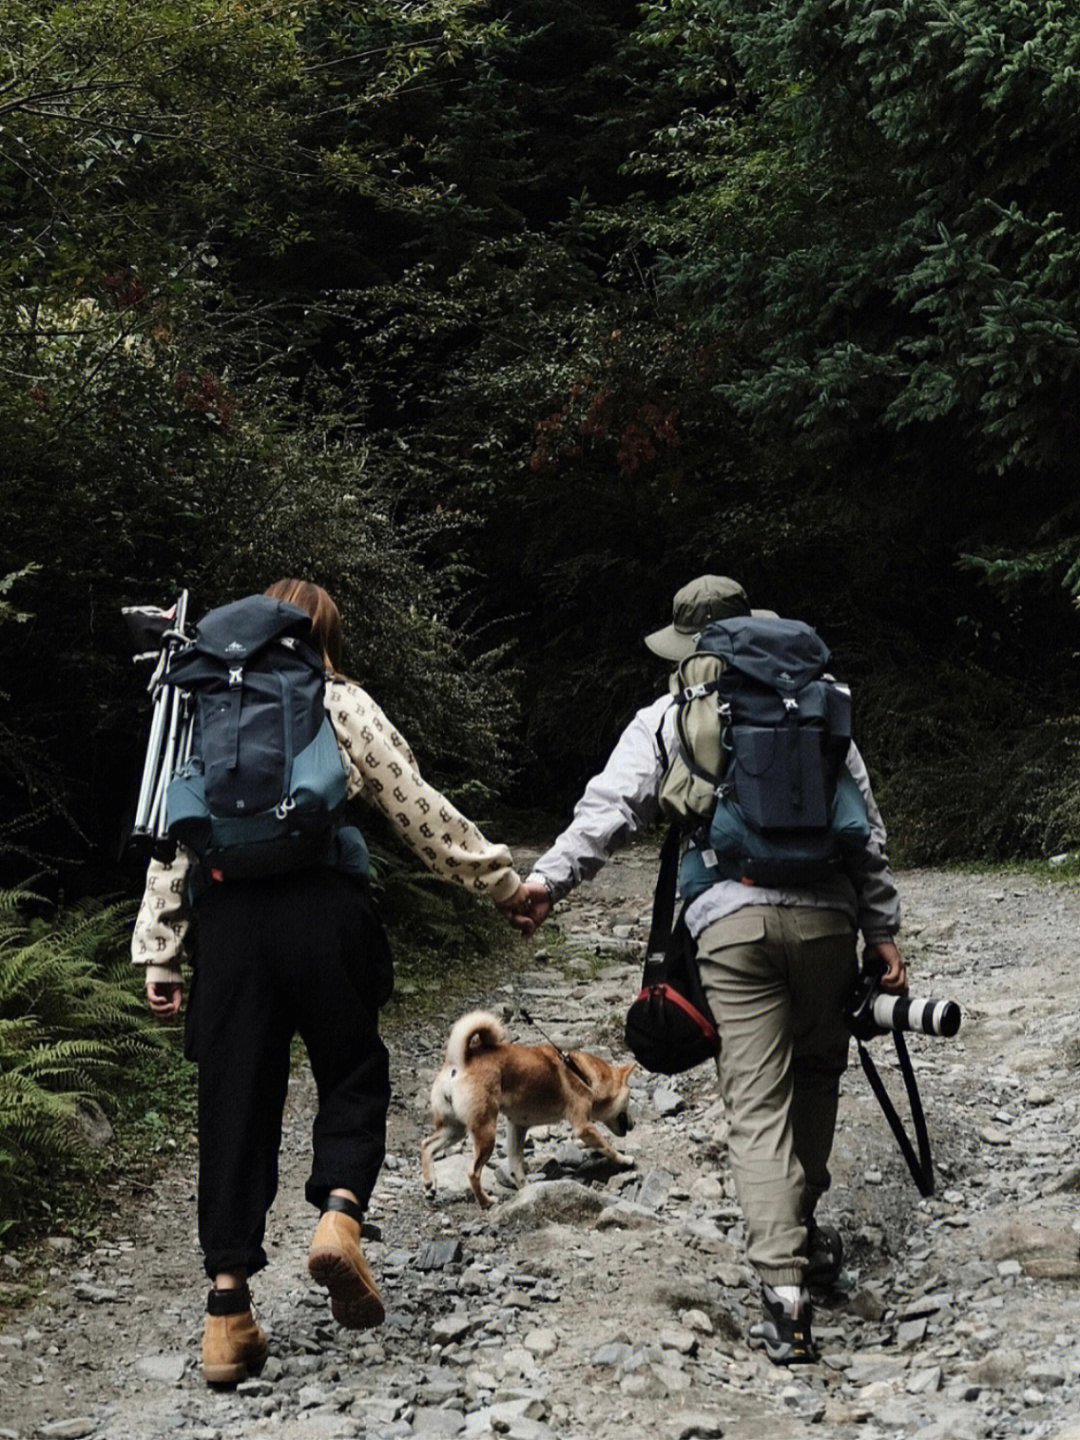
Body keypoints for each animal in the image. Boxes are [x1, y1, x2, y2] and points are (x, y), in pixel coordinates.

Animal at [423, 1008, 639, 1209]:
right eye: (629, 1099)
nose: (633, 1124)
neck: (583, 1075)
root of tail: (460, 1061)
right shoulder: (584, 1127)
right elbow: (607, 1147)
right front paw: (624, 1159)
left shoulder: (517, 1126)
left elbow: (516, 1168)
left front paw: (526, 1191)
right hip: (485, 1133)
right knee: (472, 1173)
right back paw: (486, 1201)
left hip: (455, 1129)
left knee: (427, 1145)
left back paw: (429, 1184)